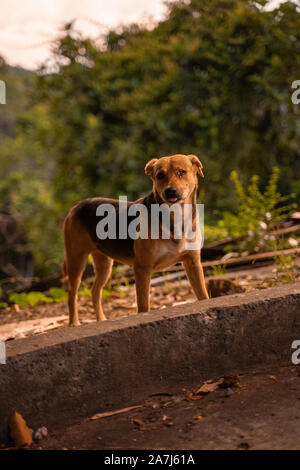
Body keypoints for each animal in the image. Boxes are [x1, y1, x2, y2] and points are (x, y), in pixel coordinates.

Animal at [63, 154, 209, 326]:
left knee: (95, 291)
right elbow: (144, 306)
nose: (170, 191)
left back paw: (101, 320)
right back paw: (74, 323)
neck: (175, 218)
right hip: (76, 260)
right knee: (72, 294)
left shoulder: (193, 263)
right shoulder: (142, 269)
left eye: (181, 172)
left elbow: (203, 296)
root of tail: (76, 206)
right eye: (160, 175)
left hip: (104, 264)